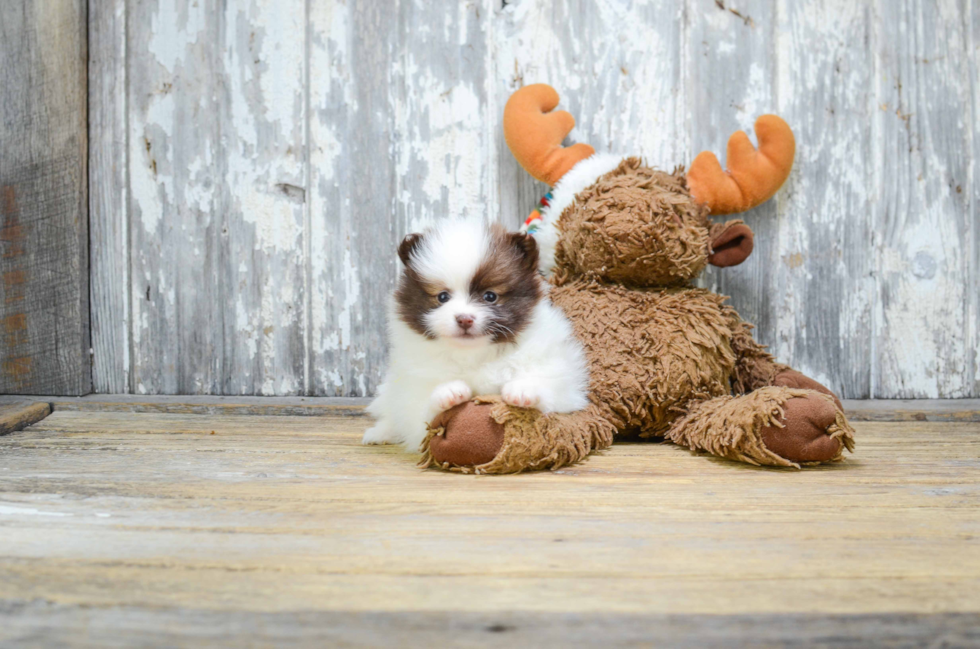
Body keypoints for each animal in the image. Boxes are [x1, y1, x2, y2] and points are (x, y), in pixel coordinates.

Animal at [362, 218, 584, 450]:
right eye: (442, 297)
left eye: (490, 296)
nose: (464, 319)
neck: (474, 353)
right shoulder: (412, 389)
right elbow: (421, 415)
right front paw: (448, 392)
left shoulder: (562, 379)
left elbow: (552, 391)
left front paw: (524, 390)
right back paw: (380, 432)